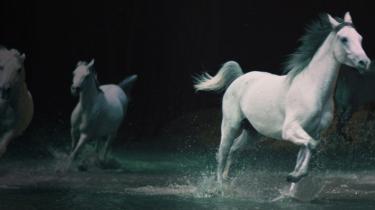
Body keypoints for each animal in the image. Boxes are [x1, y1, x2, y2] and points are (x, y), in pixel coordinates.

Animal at [195, 12, 372, 185]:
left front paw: (294, 176)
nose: (365, 63)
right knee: (223, 151)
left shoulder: (313, 132)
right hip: (230, 125)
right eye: (344, 39)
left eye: (360, 37)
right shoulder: (290, 130)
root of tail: (239, 78)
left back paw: (227, 179)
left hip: (252, 132)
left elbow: (307, 149)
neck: (311, 88)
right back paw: (219, 186)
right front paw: (295, 176)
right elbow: (312, 146)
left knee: (233, 149)